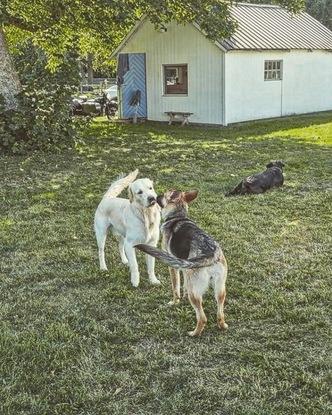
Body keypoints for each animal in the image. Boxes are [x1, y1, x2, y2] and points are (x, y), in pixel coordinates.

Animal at [136, 192, 228, 338]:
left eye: (165, 194)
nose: (156, 196)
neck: (177, 216)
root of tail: (211, 254)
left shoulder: (173, 266)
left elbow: (175, 288)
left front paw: (174, 302)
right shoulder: (186, 268)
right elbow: (183, 284)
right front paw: (182, 297)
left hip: (195, 293)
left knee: (202, 318)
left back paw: (194, 333)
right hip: (220, 289)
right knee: (220, 313)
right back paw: (222, 326)